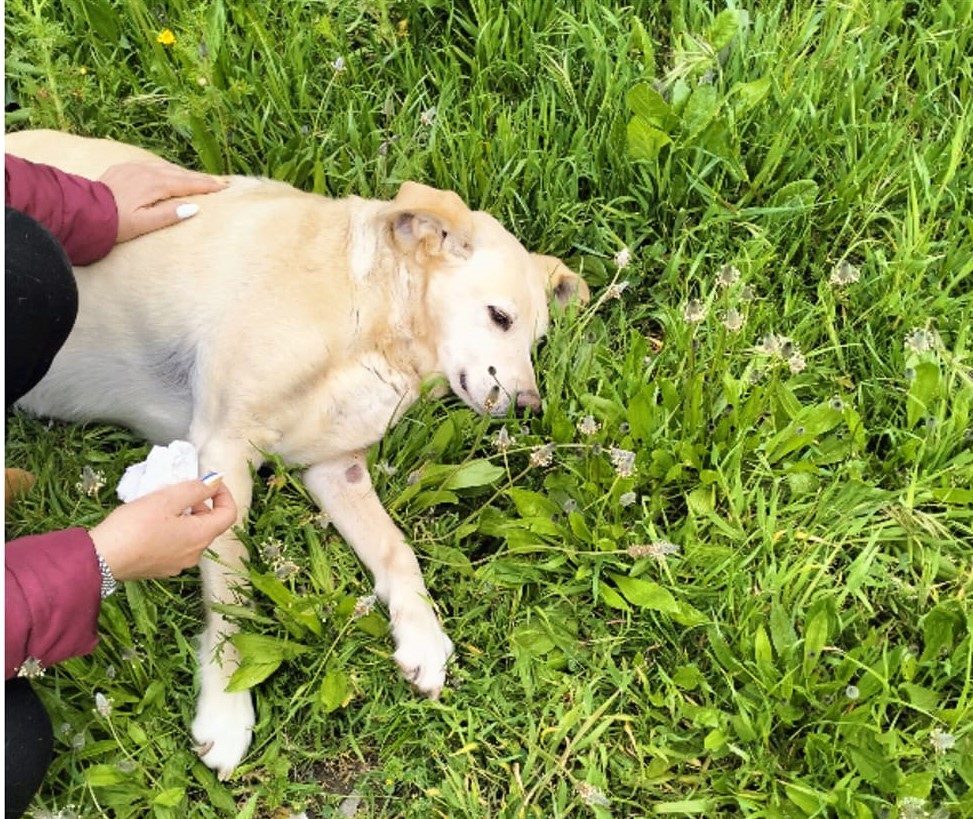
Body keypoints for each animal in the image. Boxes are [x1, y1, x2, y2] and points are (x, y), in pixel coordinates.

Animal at [7, 130, 588, 780]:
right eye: (499, 316)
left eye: (538, 340)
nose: (529, 406)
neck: (371, 321)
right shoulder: (225, 447)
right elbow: (234, 594)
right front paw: (226, 707)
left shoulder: (337, 468)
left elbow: (397, 551)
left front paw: (421, 634)